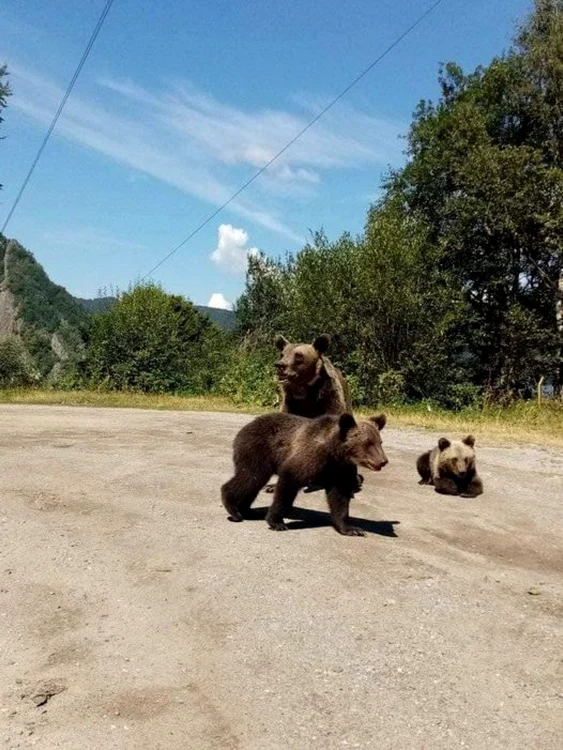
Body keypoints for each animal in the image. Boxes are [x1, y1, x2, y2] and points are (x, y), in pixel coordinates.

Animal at [220, 412, 388, 540]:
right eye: (368, 443)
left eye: (380, 442)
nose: (383, 461)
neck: (333, 452)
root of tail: (245, 427)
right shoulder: (310, 457)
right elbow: (289, 481)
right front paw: (277, 522)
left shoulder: (339, 470)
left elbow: (339, 499)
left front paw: (352, 528)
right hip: (257, 450)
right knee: (250, 477)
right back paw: (233, 510)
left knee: (254, 483)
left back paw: (248, 510)